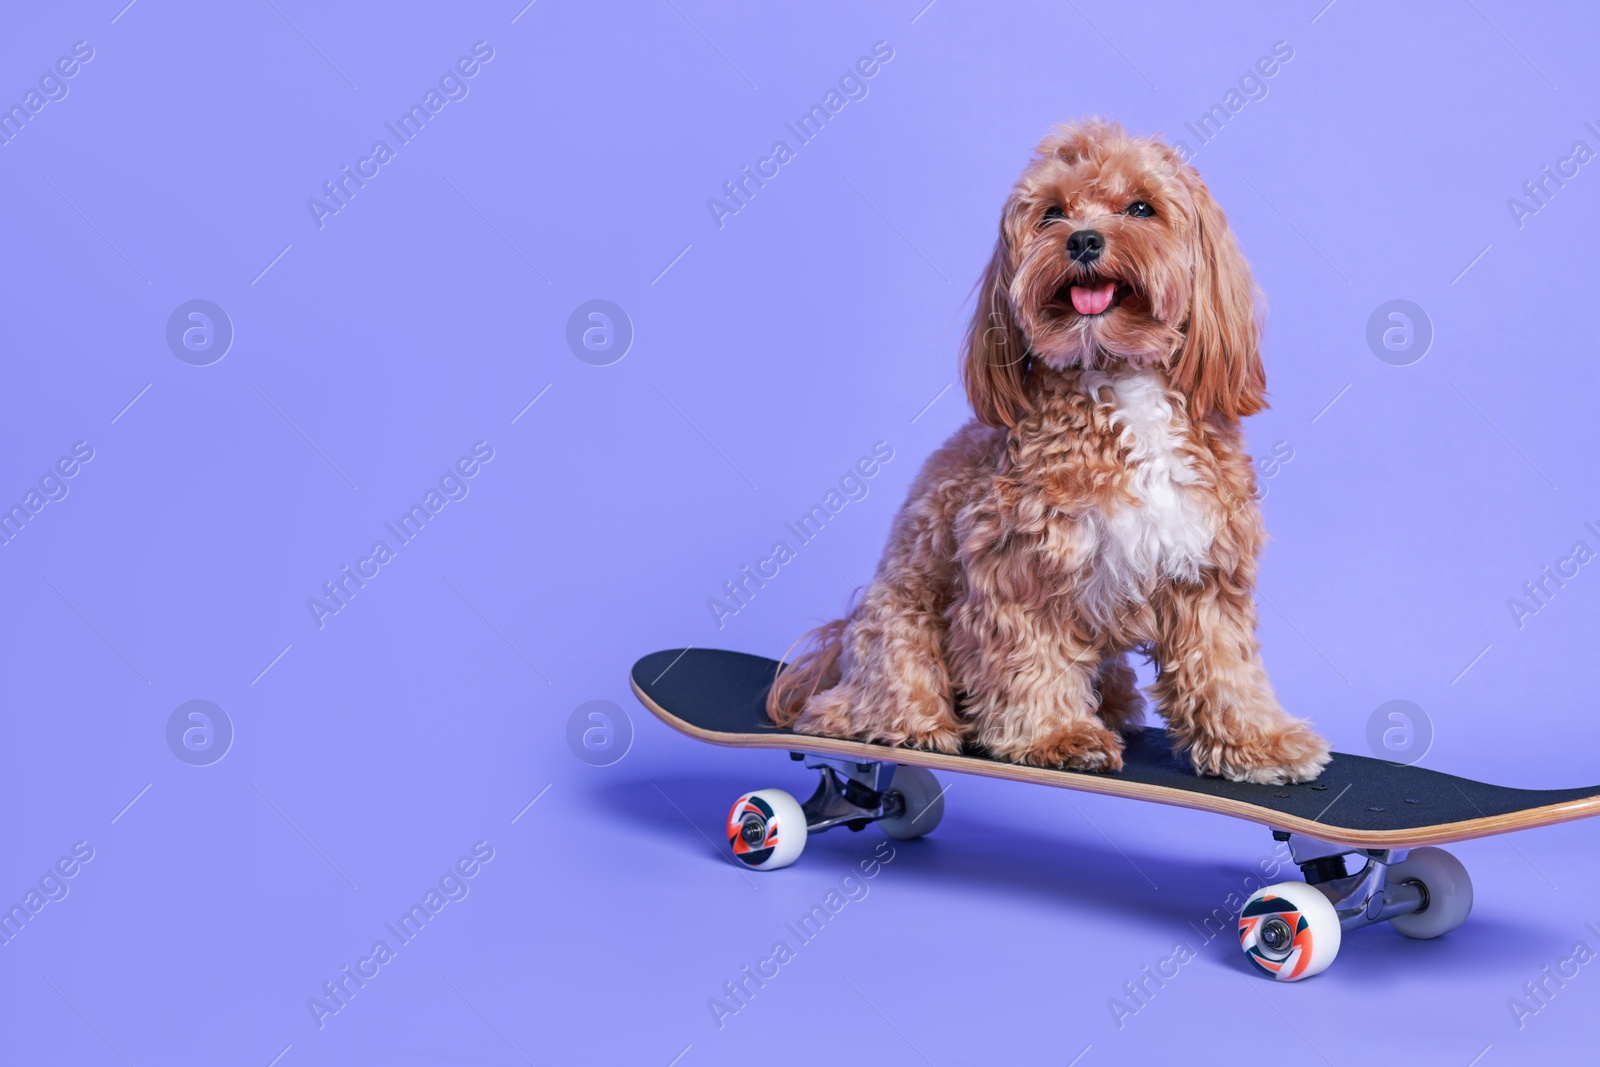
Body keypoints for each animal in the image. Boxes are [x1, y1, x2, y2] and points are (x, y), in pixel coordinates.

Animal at [768, 119, 1331, 783]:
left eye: (1141, 208)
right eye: (1052, 213)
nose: (1083, 240)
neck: (1123, 382)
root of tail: (833, 663)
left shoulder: (1208, 570)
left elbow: (1224, 665)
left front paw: (1256, 741)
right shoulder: (1020, 565)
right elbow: (1030, 658)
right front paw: (1055, 735)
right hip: (896, 625)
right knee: (879, 697)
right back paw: (916, 725)